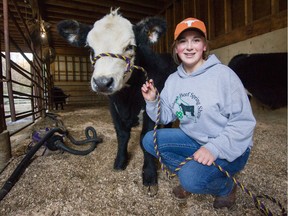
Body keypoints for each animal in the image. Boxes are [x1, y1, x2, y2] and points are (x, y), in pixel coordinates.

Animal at [57, 8, 176, 196]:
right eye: (90, 48)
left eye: (130, 47)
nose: (102, 82)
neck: (126, 98)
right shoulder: (113, 107)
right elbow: (122, 134)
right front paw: (120, 161)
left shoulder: (150, 105)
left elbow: (145, 136)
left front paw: (149, 175)